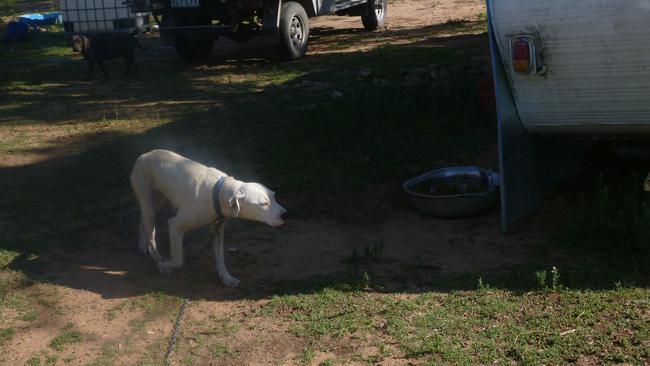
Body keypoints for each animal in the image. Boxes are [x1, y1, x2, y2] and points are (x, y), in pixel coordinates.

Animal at [129, 150, 286, 288]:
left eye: (274, 196)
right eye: (263, 204)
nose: (285, 214)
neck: (218, 192)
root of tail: (145, 155)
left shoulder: (218, 231)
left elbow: (220, 259)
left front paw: (226, 278)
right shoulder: (175, 225)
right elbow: (179, 260)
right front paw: (164, 264)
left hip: (156, 201)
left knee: (142, 220)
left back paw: (143, 246)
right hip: (147, 201)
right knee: (151, 233)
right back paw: (156, 256)